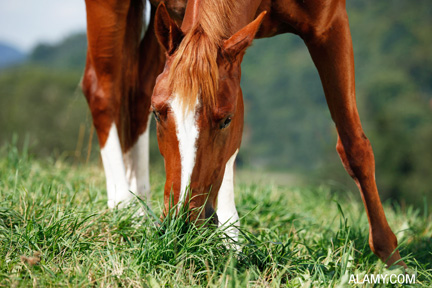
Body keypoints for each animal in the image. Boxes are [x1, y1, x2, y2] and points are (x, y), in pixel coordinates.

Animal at [82, 0, 406, 268]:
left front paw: (392, 259)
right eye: (159, 114)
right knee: (102, 90)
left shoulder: (328, 25)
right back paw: (123, 206)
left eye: (226, 120)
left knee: (137, 92)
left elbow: (354, 145)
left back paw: (141, 209)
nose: (182, 226)